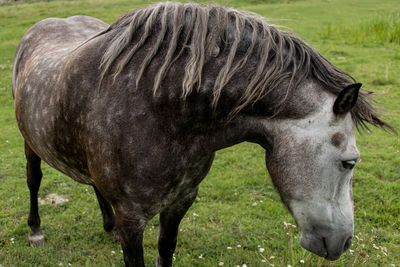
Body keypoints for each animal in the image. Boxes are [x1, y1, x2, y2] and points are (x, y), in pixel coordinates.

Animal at [12, 1, 390, 266]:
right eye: (349, 162)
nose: (345, 242)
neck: (159, 112)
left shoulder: (181, 201)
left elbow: (166, 249)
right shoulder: (132, 219)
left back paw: (106, 225)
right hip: (30, 145)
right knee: (33, 180)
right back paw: (35, 231)